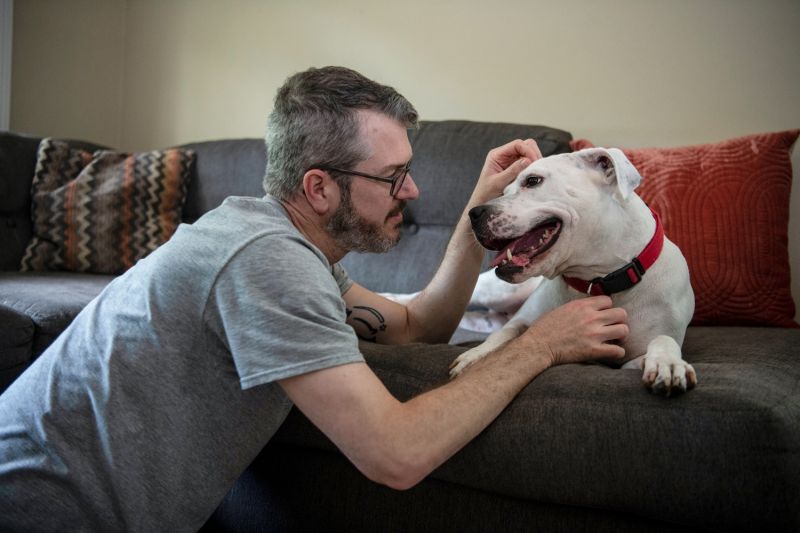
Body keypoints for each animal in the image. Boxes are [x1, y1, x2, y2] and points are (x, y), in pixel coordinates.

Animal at [454, 148, 696, 392]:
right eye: (504, 191)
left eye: (532, 181)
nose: (473, 213)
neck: (598, 280)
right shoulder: (523, 319)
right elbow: (503, 335)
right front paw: (474, 356)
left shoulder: (634, 356)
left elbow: (662, 340)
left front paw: (667, 362)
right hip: (499, 292)